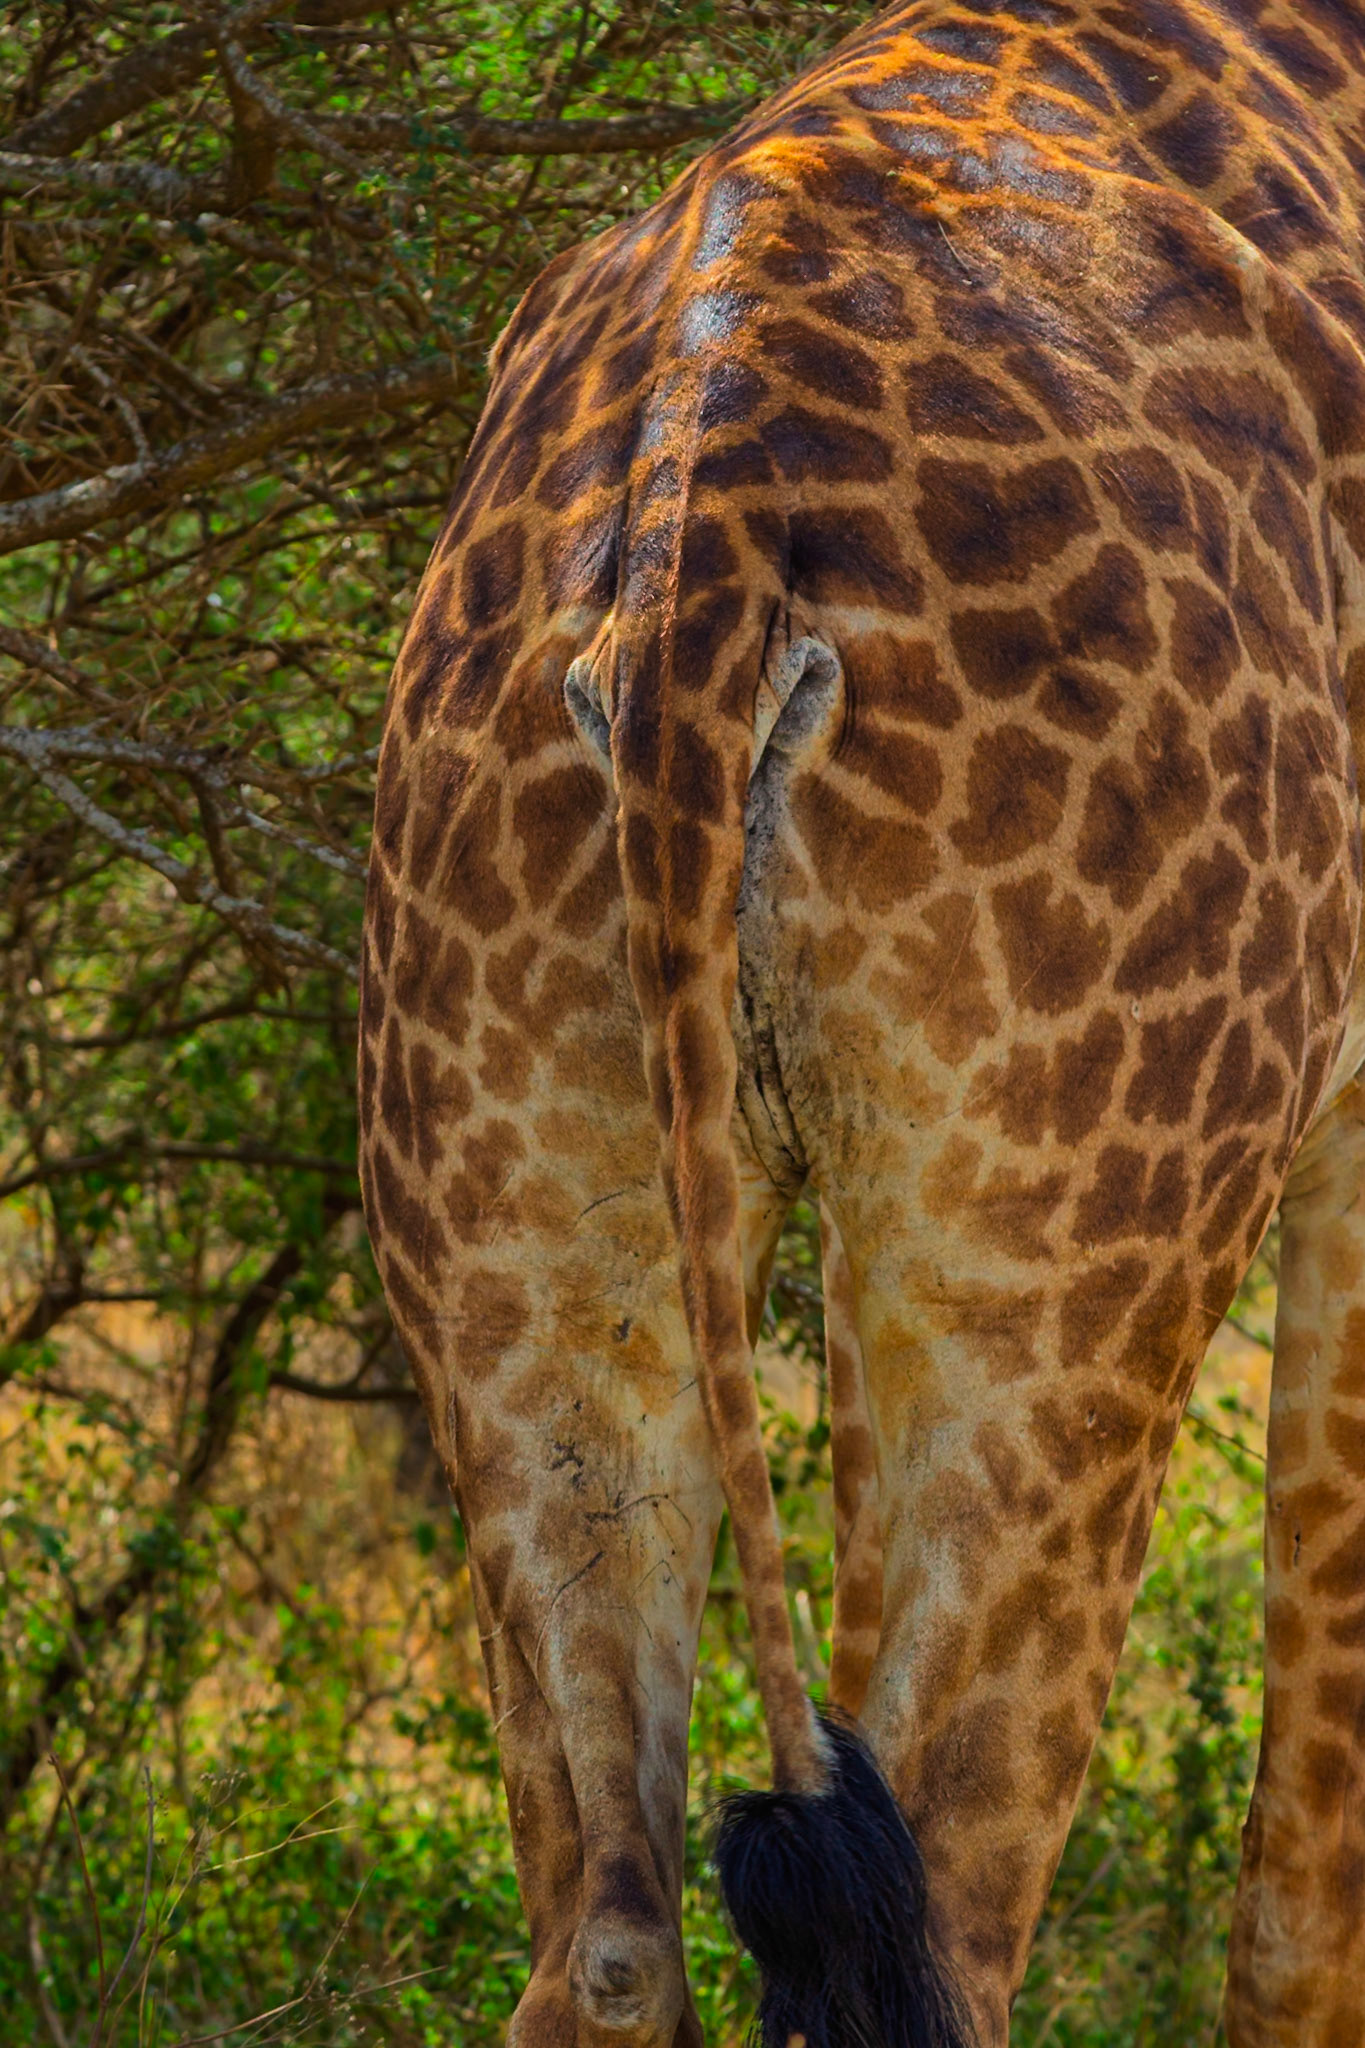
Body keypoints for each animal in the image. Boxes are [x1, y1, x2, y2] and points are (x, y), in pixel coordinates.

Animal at [359, 2, 1365, 2042]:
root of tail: (698, 533)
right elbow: (1307, 1880)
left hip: (514, 1235)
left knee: (603, 1932)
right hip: (1057, 1259)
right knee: (958, 1906)